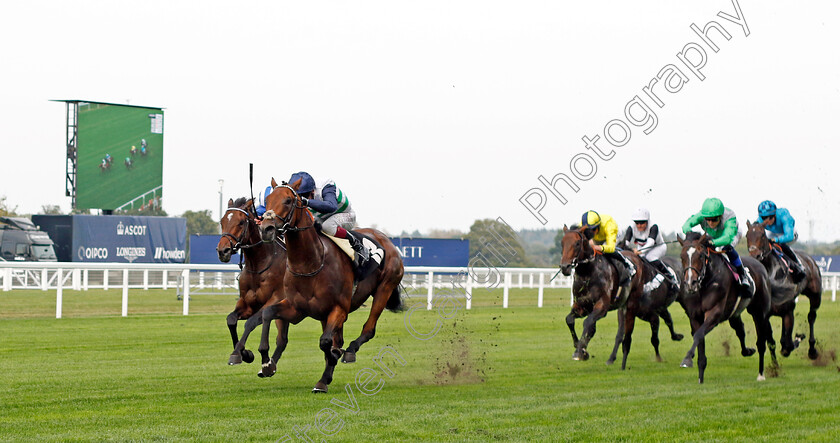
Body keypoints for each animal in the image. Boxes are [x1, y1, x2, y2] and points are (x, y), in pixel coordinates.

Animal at [215, 199, 288, 368]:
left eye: (241, 222)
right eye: (222, 221)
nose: (223, 251)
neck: (259, 265)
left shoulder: (274, 300)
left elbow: (251, 322)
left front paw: (237, 353)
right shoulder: (248, 304)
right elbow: (231, 320)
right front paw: (245, 353)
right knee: (282, 340)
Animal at [256, 179, 404, 394]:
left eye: (288, 200)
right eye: (267, 200)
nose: (266, 228)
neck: (311, 263)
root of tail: (385, 239)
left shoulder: (339, 309)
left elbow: (326, 342)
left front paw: (333, 359)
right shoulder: (296, 309)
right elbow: (268, 313)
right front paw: (267, 364)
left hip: (385, 288)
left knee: (368, 329)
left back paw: (348, 352)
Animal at [680, 232, 772, 386]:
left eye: (700, 256)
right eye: (682, 257)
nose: (690, 283)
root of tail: (759, 264)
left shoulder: (714, 314)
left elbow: (698, 335)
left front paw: (687, 359)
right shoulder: (695, 317)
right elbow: (699, 340)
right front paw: (700, 379)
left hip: (760, 313)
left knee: (761, 342)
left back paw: (761, 374)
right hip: (734, 314)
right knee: (740, 330)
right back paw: (747, 351)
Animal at [744, 222, 824, 360]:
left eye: (763, 234)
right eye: (747, 235)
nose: (755, 255)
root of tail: (810, 259)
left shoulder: (788, 310)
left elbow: (788, 346)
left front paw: (798, 338)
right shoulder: (762, 315)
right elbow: (772, 342)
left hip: (815, 296)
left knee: (811, 317)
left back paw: (812, 350)